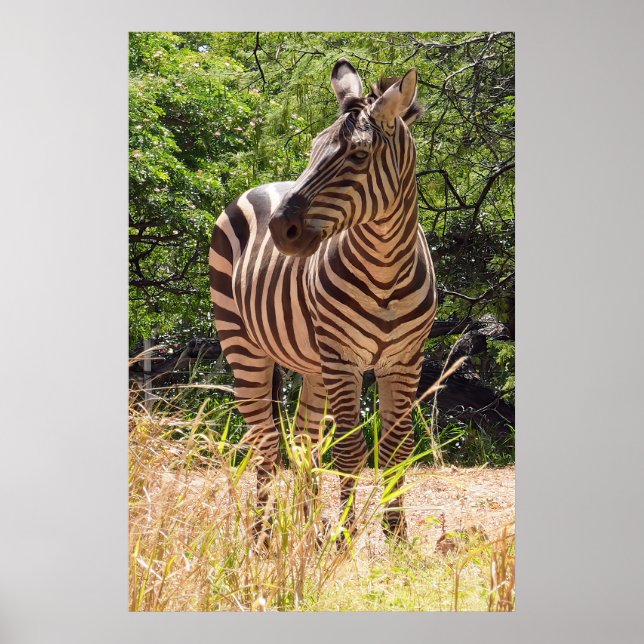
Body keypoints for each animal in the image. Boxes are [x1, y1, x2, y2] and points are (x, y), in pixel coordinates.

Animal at [209, 59, 437, 540]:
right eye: (313, 149)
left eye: (358, 156)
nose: (280, 230)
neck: (386, 270)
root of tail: (262, 185)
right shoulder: (342, 358)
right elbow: (350, 450)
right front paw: (346, 538)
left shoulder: (405, 359)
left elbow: (397, 447)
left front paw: (396, 537)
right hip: (244, 345)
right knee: (265, 441)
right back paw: (263, 535)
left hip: (312, 365)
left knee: (303, 439)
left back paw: (306, 531)